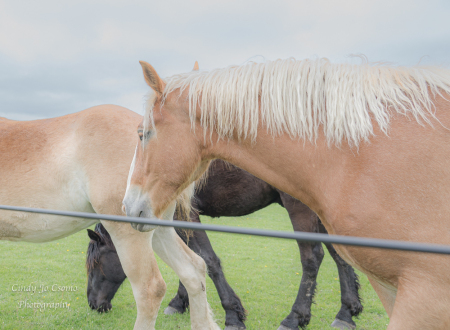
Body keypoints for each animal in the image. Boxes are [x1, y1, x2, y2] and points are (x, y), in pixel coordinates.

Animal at [87, 159, 362, 328]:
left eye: (95, 264)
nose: (93, 304)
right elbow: (187, 262)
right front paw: (180, 302)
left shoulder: (186, 215)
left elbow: (207, 260)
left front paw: (233, 315)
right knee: (339, 255)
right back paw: (346, 313)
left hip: (300, 206)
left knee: (312, 257)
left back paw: (294, 318)